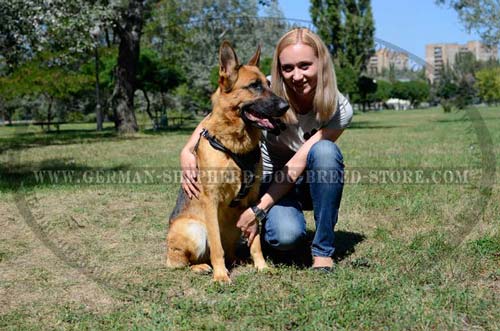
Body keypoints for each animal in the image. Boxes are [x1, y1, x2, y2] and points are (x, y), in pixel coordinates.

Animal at [166, 41, 288, 284]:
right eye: (254, 86)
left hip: (234, 227)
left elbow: (256, 242)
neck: (235, 145)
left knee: (231, 250)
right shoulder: (211, 201)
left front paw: (261, 266)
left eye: (268, 84)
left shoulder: (252, 202)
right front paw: (221, 275)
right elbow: (216, 247)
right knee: (184, 262)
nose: (286, 106)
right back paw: (201, 266)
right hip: (195, 230)